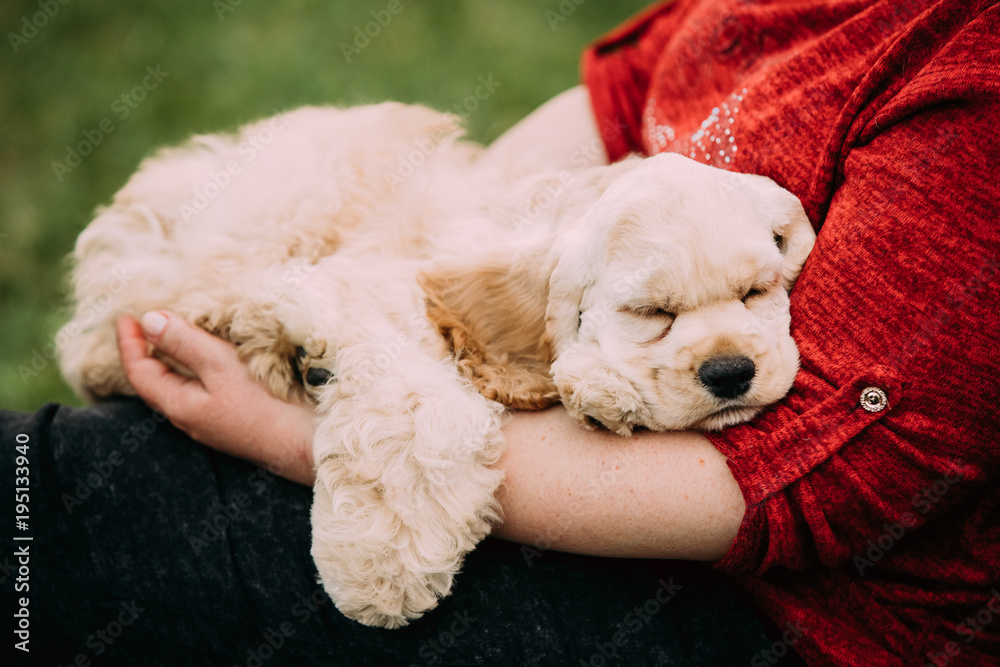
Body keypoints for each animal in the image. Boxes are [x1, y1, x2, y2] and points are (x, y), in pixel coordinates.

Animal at [56, 104, 812, 632]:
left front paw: (602, 388)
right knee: (108, 321)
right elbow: (419, 411)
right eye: (651, 311)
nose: (730, 371)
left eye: (757, 292)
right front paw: (379, 572)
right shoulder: (370, 293)